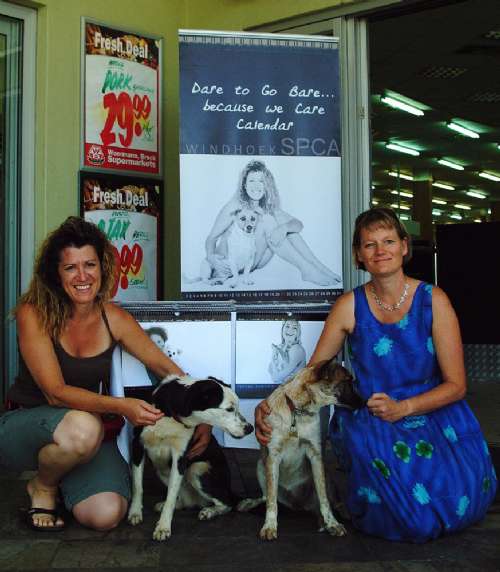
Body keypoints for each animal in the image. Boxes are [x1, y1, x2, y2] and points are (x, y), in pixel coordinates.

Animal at [127, 375, 253, 541]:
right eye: (229, 409)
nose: (251, 428)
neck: (170, 414)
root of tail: (228, 488)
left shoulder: (180, 457)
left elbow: (171, 496)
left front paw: (163, 527)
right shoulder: (137, 445)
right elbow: (137, 486)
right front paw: (135, 512)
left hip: (196, 469)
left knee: (227, 504)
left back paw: (209, 511)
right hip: (162, 470)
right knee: (185, 502)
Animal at [237, 359, 365, 540]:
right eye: (347, 381)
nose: (365, 402)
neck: (297, 411)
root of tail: (299, 506)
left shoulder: (316, 455)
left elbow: (324, 499)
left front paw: (332, 523)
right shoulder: (272, 457)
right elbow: (271, 501)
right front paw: (269, 526)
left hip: (326, 474)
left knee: (332, 501)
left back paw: (333, 517)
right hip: (260, 465)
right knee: (265, 496)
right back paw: (249, 503)